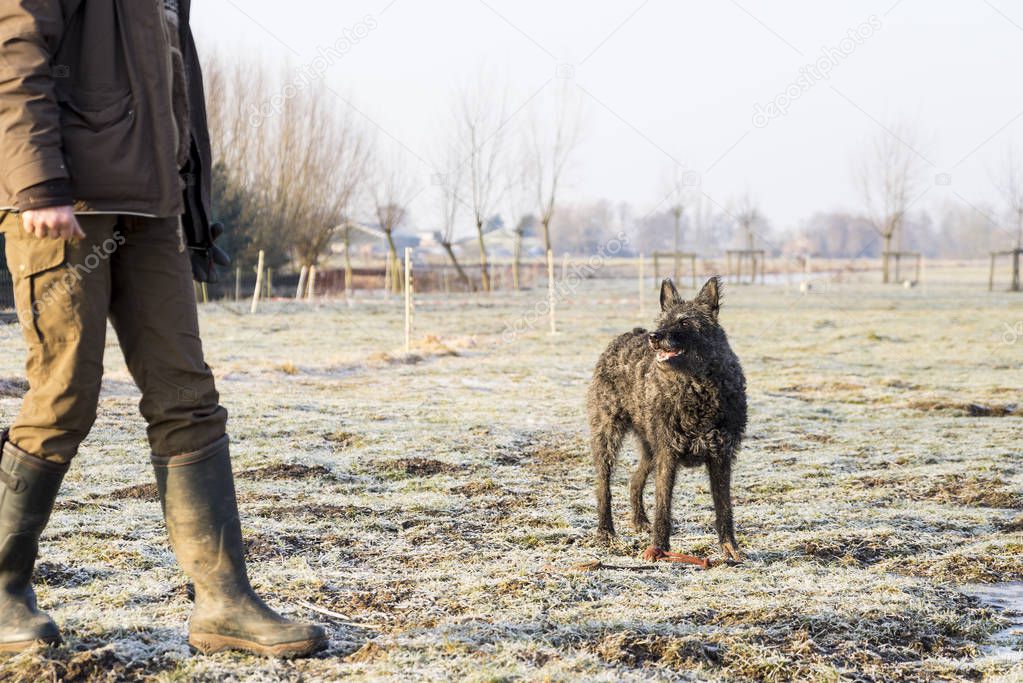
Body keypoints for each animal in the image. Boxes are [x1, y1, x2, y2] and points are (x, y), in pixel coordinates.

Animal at [589, 274, 748, 564]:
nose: (655, 336)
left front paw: (729, 547)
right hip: (607, 435)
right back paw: (605, 530)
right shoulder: (668, 455)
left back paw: (639, 519)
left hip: (649, 446)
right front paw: (659, 549)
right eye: (662, 322)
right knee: (603, 484)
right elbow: (663, 507)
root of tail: (627, 334)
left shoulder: (720, 456)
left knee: (634, 479)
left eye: (684, 322)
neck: (697, 385)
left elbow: (724, 508)